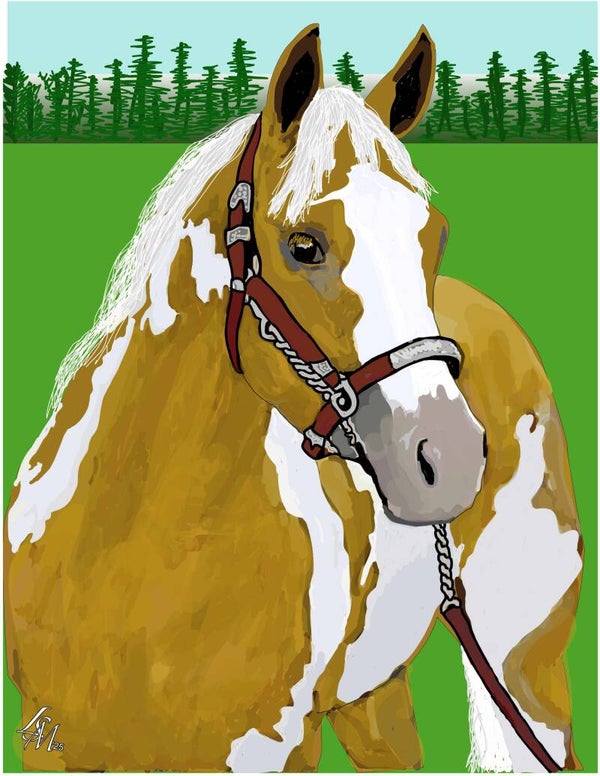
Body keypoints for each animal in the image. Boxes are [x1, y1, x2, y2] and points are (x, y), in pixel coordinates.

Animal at [5, 24, 583, 773]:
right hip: (376, 694)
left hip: (523, 661)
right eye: (304, 245)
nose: (450, 459)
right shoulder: (49, 742)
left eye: (434, 236)